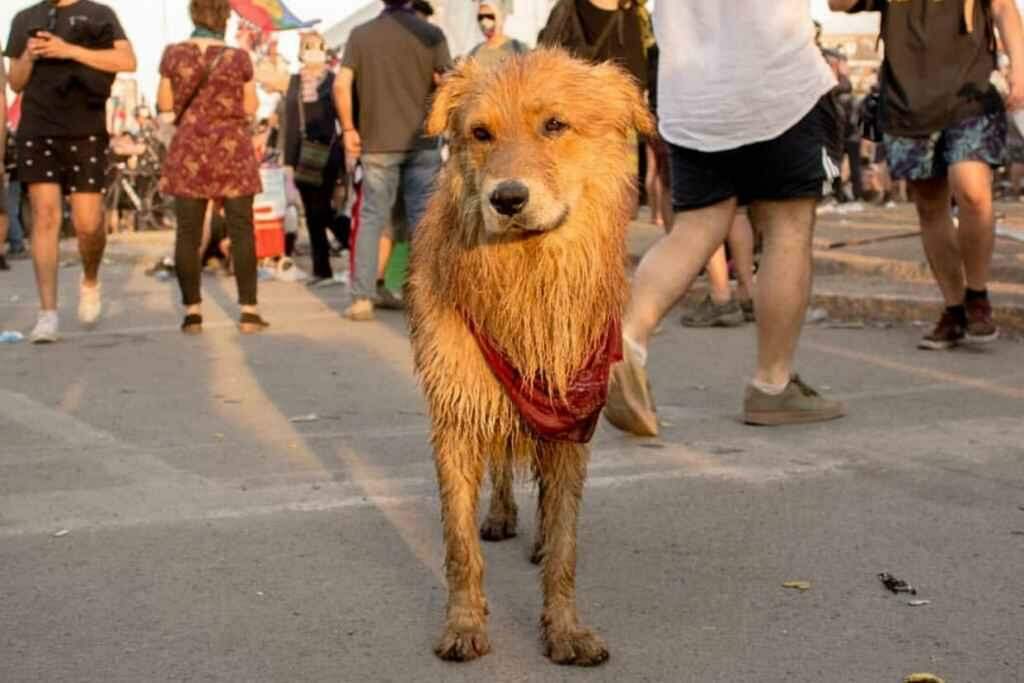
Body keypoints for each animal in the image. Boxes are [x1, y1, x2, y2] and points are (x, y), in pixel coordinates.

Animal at [405, 49, 651, 667]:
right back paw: (500, 515)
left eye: (555, 125)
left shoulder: (571, 415)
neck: (527, 276)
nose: (507, 199)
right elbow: (459, 544)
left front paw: (564, 630)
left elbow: (565, 543)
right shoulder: (457, 408)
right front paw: (464, 623)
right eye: (480, 133)